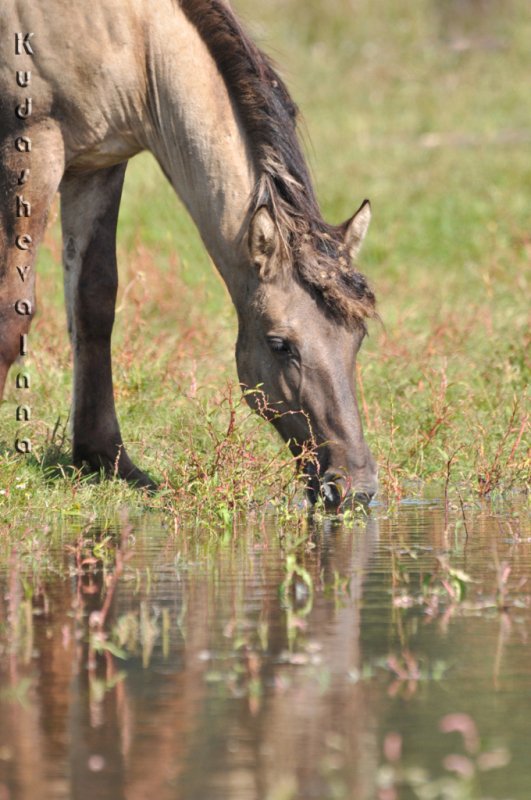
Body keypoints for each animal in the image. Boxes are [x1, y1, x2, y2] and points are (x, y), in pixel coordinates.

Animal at [2, 0, 380, 510]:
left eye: (357, 337)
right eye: (280, 344)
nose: (354, 487)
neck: (133, 38)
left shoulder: (98, 163)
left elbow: (93, 304)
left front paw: (107, 460)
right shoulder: (31, 147)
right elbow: (13, 309)